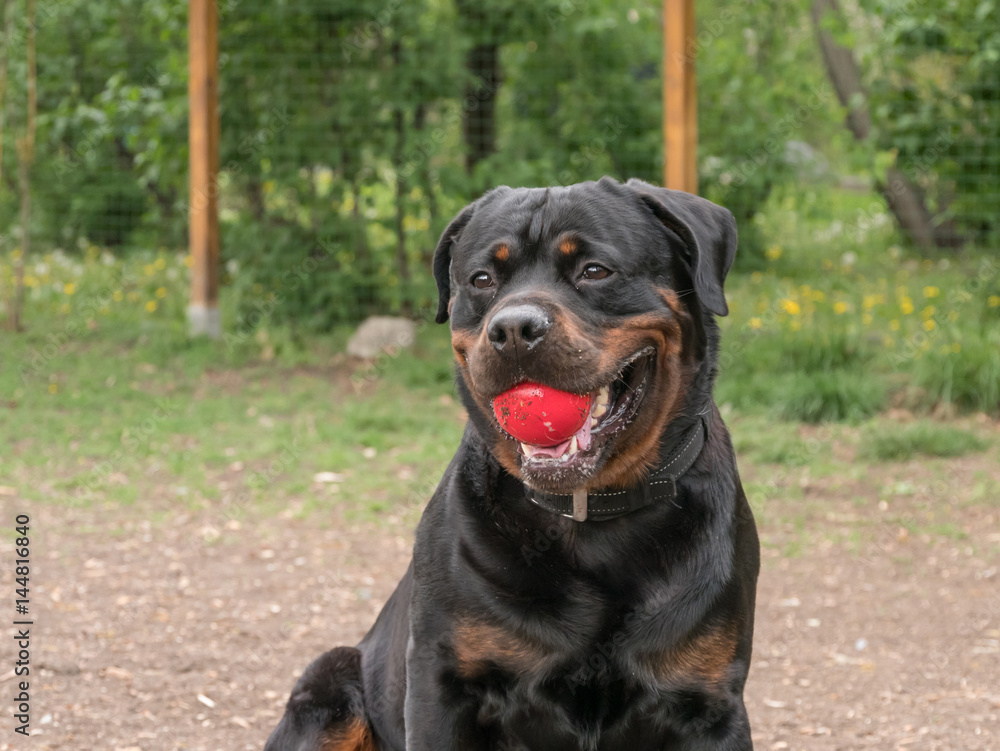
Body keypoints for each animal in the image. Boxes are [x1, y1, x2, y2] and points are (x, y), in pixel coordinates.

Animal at [266, 178, 756, 751]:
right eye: (482, 280)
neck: (589, 521)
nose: (514, 328)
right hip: (333, 685)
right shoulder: (441, 687)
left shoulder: (709, 703)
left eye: (595, 270)